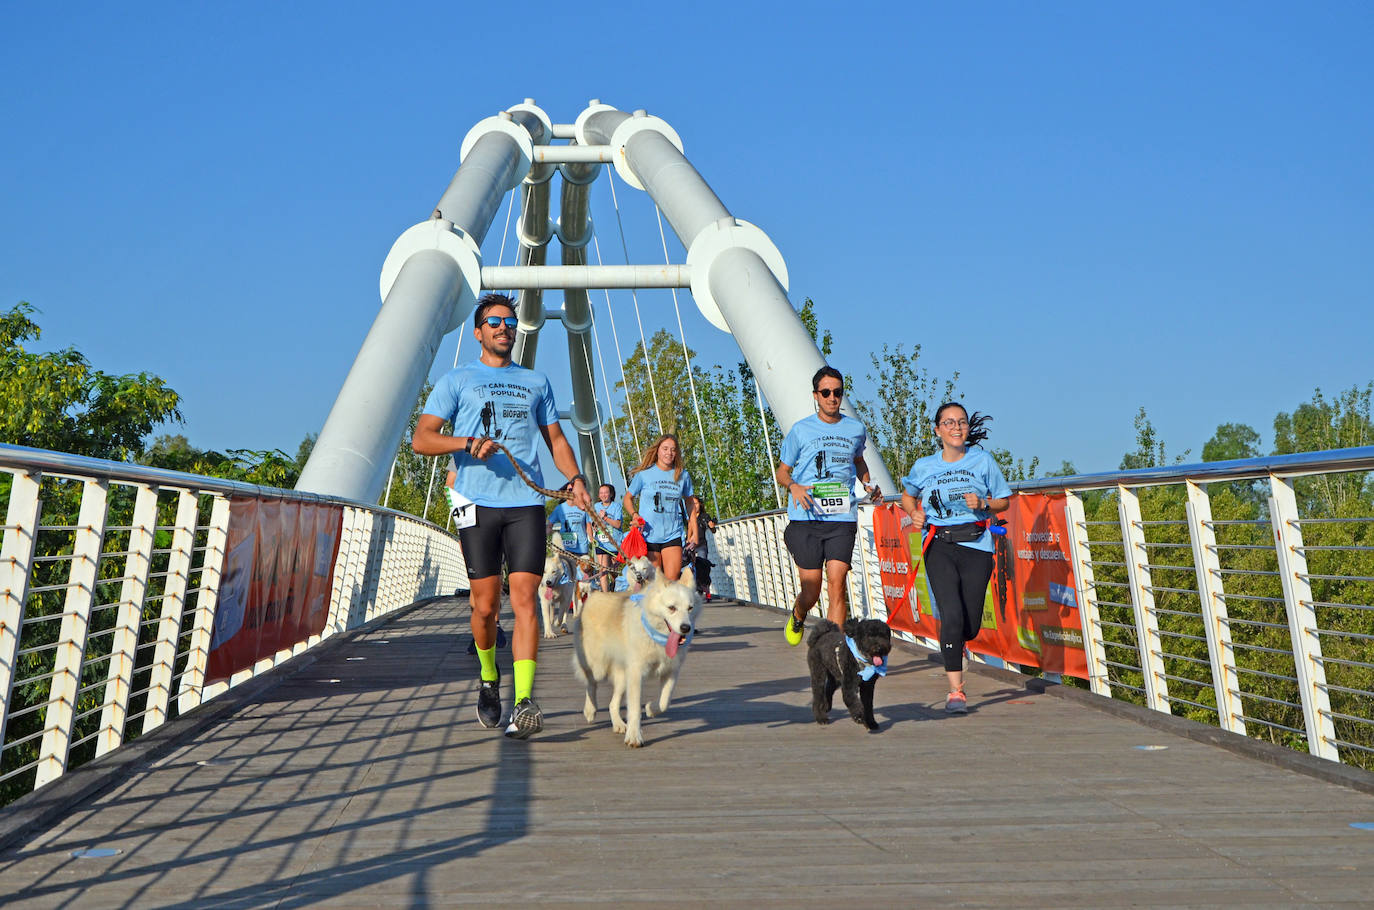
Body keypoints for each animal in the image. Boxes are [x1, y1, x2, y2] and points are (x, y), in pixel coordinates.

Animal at [571, 571, 703, 747]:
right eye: (672, 608)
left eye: (690, 608)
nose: (686, 628)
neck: (657, 637)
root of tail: (593, 596)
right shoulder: (636, 674)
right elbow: (634, 709)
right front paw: (634, 736)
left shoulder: (671, 671)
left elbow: (664, 702)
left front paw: (650, 709)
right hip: (598, 666)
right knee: (591, 683)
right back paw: (590, 710)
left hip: (622, 677)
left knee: (612, 704)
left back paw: (619, 724)